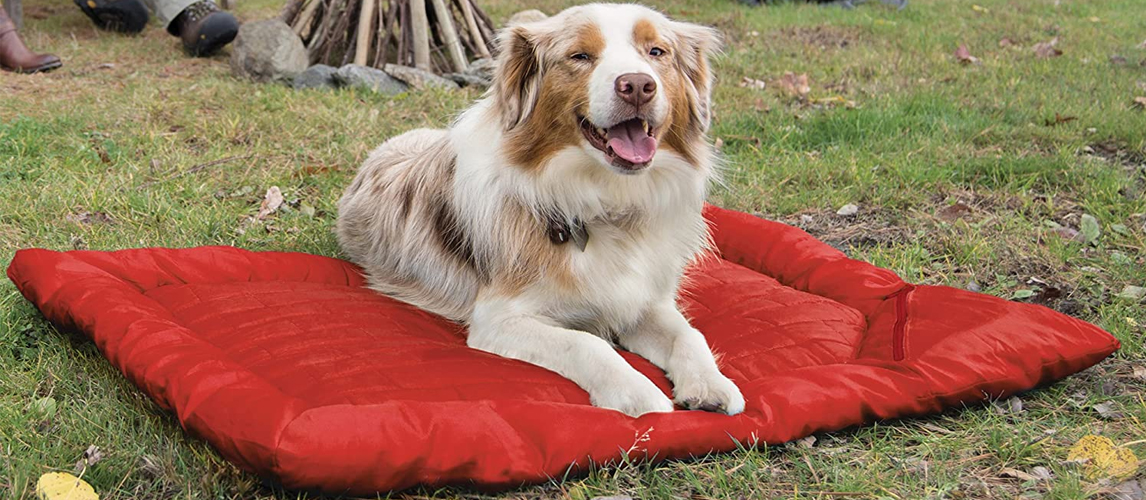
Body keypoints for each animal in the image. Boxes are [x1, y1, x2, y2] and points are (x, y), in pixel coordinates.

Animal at [334, 2, 742, 417]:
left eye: (657, 52)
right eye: (580, 56)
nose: (639, 86)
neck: (605, 202)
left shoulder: (644, 301)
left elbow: (689, 334)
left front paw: (711, 384)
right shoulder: (498, 318)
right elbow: (587, 342)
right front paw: (637, 393)